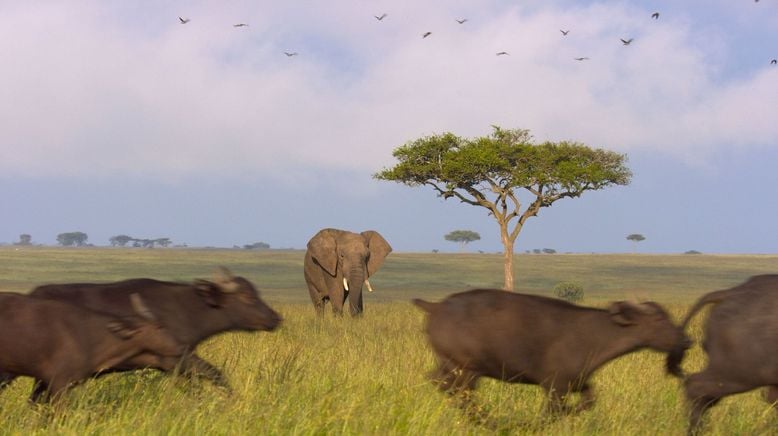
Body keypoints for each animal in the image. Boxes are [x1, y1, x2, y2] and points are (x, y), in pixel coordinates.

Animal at [412, 288, 684, 414]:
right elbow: (553, 412)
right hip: (467, 370)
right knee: (459, 394)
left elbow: (588, 401)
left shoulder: (579, 383)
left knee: (440, 384)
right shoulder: (555, 387)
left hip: (451, 367)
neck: (595, 333)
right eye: (659, 319)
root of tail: (437, 307)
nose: (685, 339)